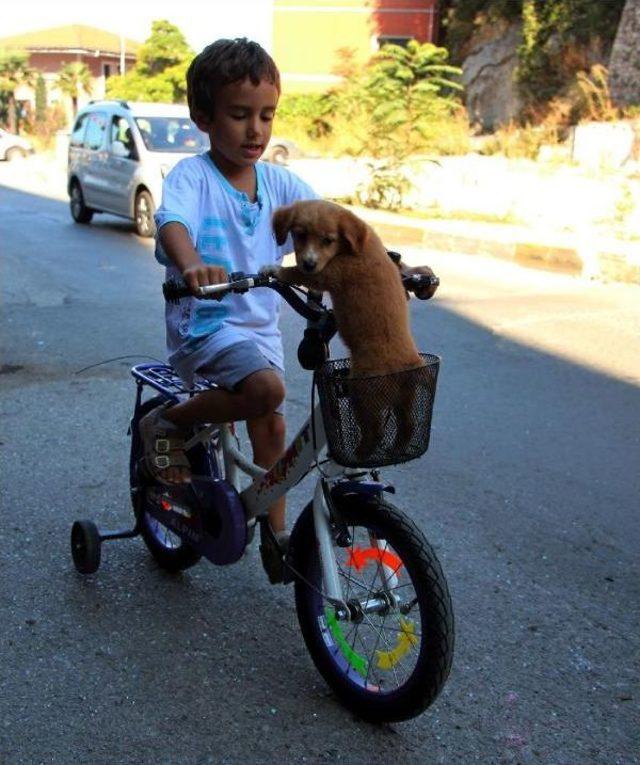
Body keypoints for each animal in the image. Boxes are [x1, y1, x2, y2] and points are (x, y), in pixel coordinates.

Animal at [268, 198, 424, 460]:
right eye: (300, 235)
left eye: (328, 240)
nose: (309, 263)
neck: (358, 246)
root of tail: (409, 366)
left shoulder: (330, 272)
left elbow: (296, 272)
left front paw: (272, 270)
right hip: (404, 399)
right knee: (408, 425)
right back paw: (397, 448)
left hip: (362, 393)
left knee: (375, 430)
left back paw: (361, 452)